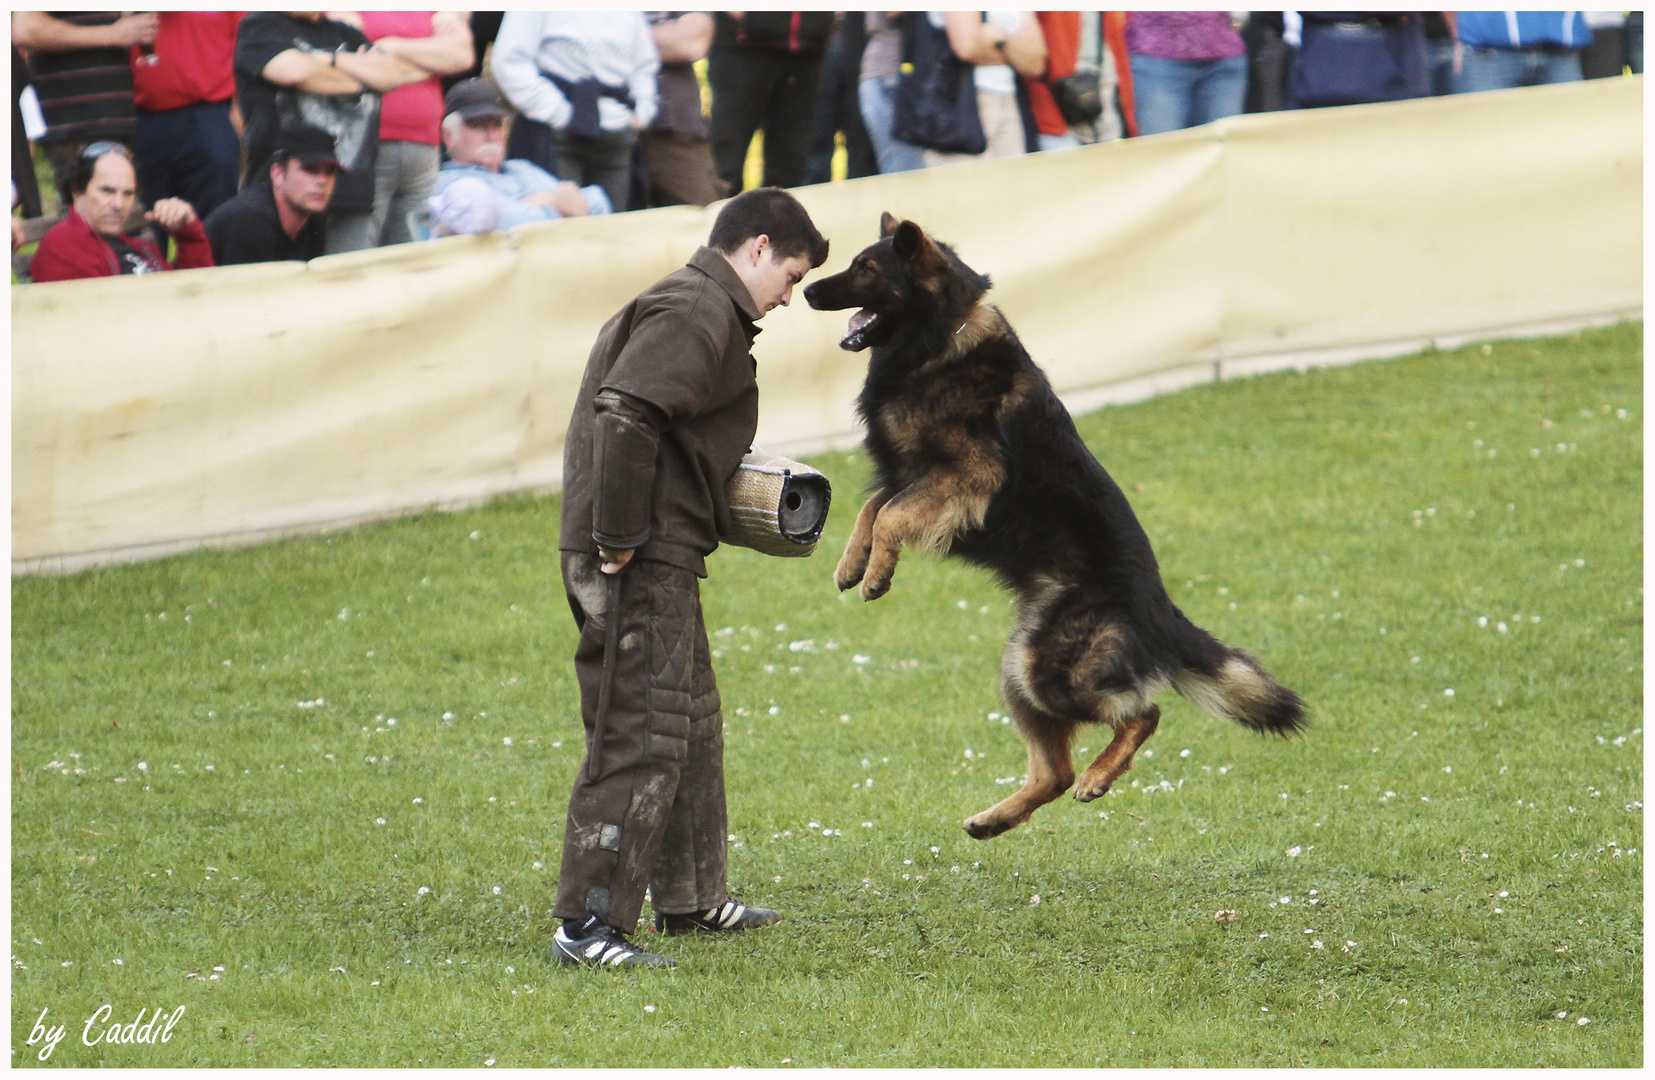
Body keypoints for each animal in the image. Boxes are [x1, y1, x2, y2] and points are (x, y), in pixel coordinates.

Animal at [804, 215, 1304, 836]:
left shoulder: (967, 474)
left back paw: (1098, 776)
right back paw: (994, 819)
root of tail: (1162, 611)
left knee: (1144, 713)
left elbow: (891, 512)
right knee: (1055, 772)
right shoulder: (913, 474)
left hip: (1053, 669)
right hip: (1022, 667)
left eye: (866, 269)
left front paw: (876, 574)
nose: (806, 290)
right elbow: (873, 508)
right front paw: (853, 564)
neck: (939, 342)